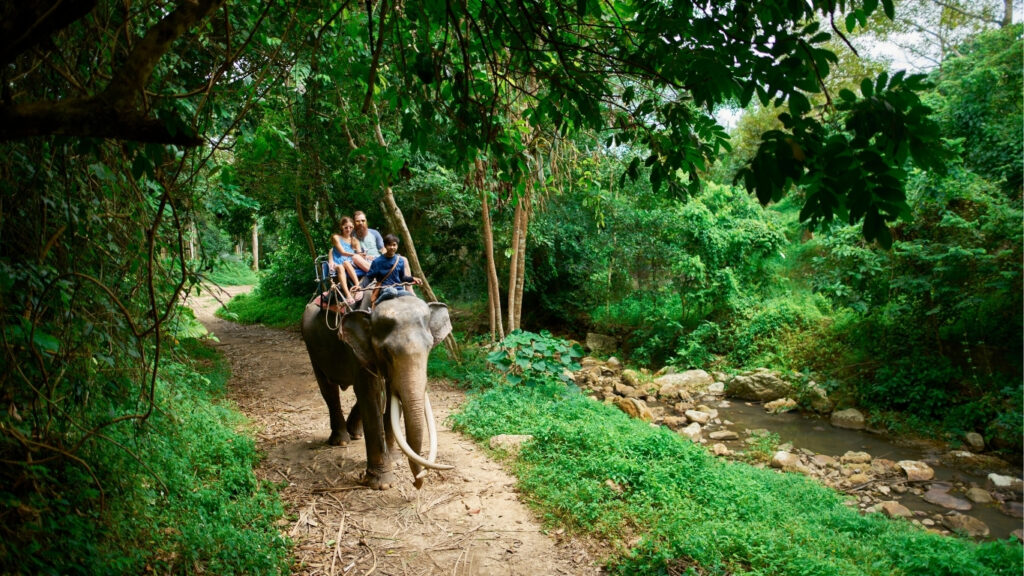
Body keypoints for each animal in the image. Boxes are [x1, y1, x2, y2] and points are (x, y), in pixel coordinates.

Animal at [300, 293, 454, 489]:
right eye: (386, 351)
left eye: (429, 346)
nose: (416, 482)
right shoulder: (356, 351)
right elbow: (369, 393)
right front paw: (382, 483)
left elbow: (389, 393)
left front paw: (395, 460)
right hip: (312, 348)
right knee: (329, 390)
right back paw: (341, 440)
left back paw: (355, 433)